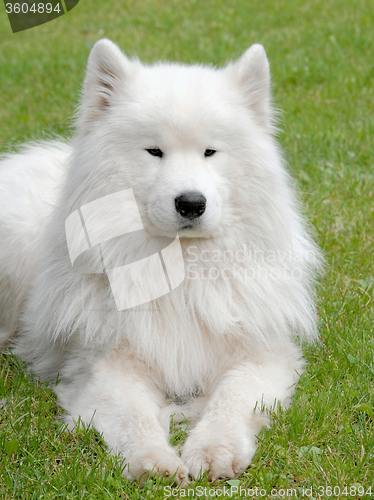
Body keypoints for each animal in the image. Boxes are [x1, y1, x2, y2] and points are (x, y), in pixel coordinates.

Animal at [0, 39, 322, 484]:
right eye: (154, 151)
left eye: (210, 152)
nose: (191, 203)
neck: (179, 269)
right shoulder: (106, 366)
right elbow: (134, 417)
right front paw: (155, 462)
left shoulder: (262, 355)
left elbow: (231, 398)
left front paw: (213, 450)